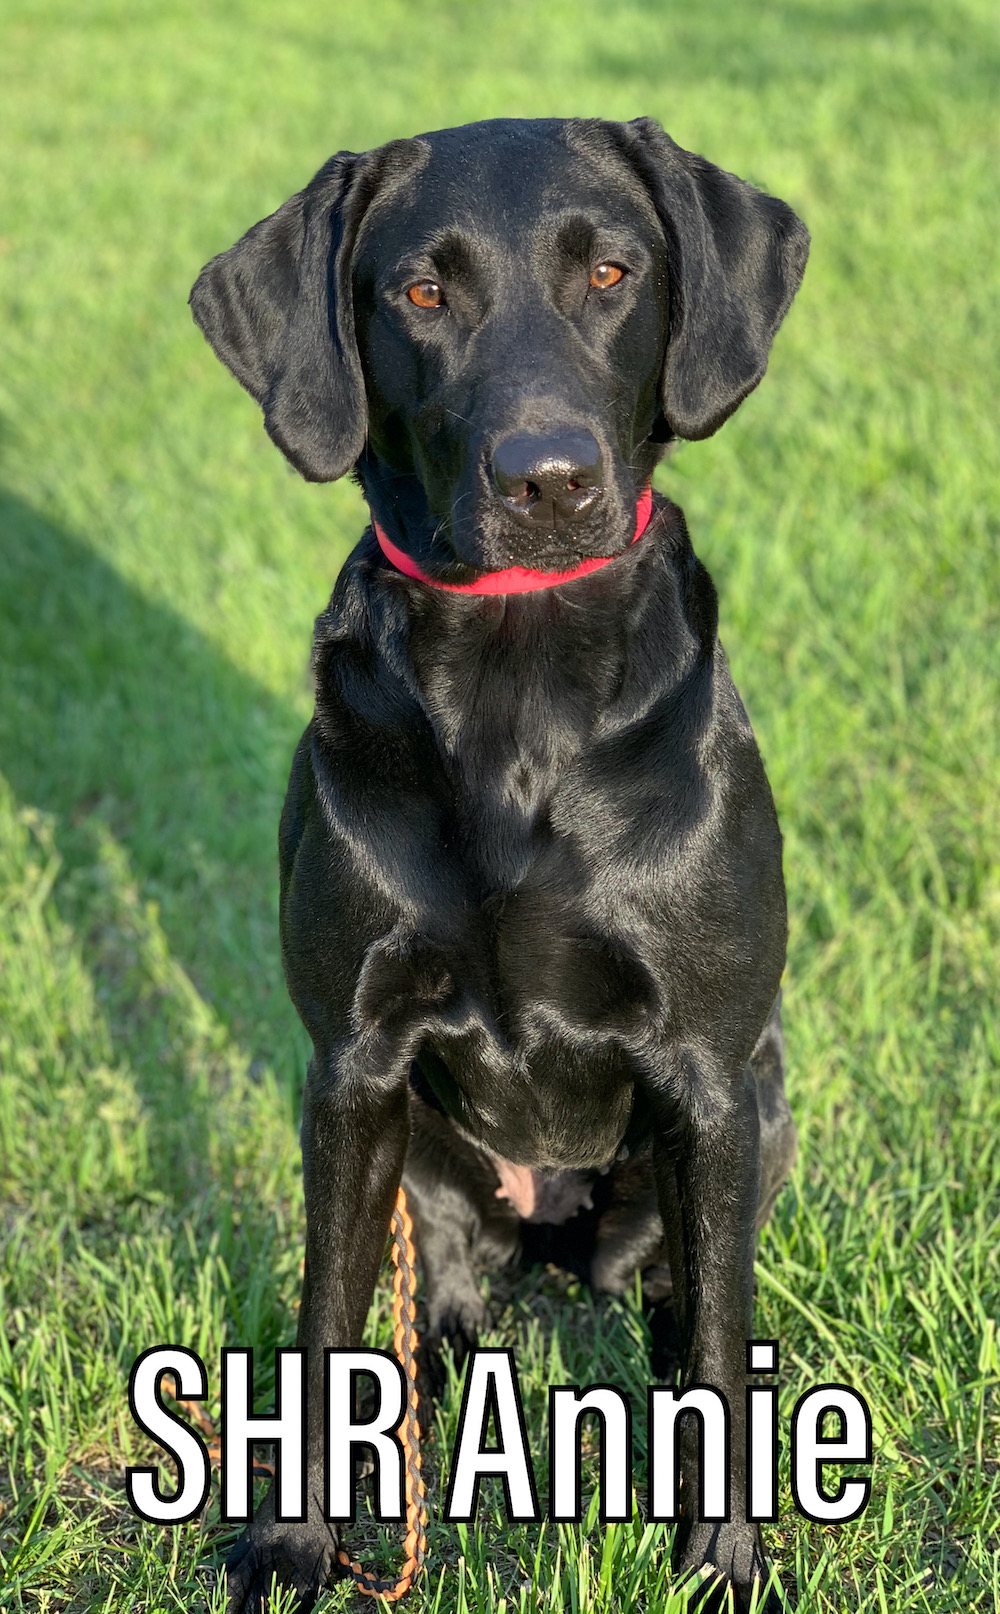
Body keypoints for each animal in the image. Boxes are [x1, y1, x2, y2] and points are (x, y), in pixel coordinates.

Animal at [191, 119, 809, 1607]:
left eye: (610, 271)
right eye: (423, 292)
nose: (548, 481)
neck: (517, 695)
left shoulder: (707, 1072)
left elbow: (719, 1357)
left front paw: (722, 1563)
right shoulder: (351, 1071)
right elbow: (320, 1332)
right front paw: (292, 1547)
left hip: (748, 1126)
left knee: (687, 1308)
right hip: (430, 1186)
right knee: (435, 1335)